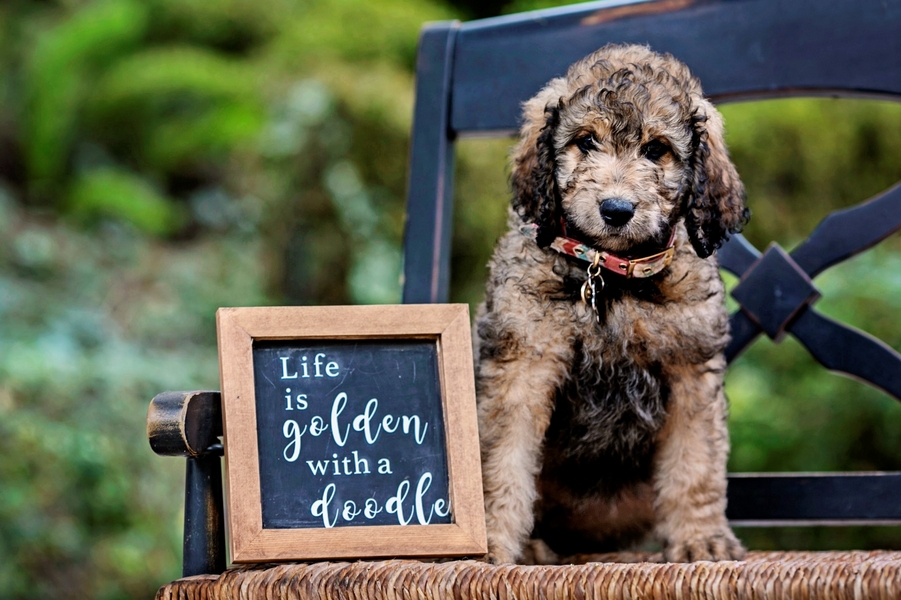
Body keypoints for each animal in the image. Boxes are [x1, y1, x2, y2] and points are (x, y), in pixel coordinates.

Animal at [474, 44, 748, 564]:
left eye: (656, 149)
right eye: (586, 141)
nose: (616, 210)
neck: (610, 276)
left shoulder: (691, 370)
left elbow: (696, 463)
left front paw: (700, 537)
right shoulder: (523, 364)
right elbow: (498, 461)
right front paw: (491, 542)